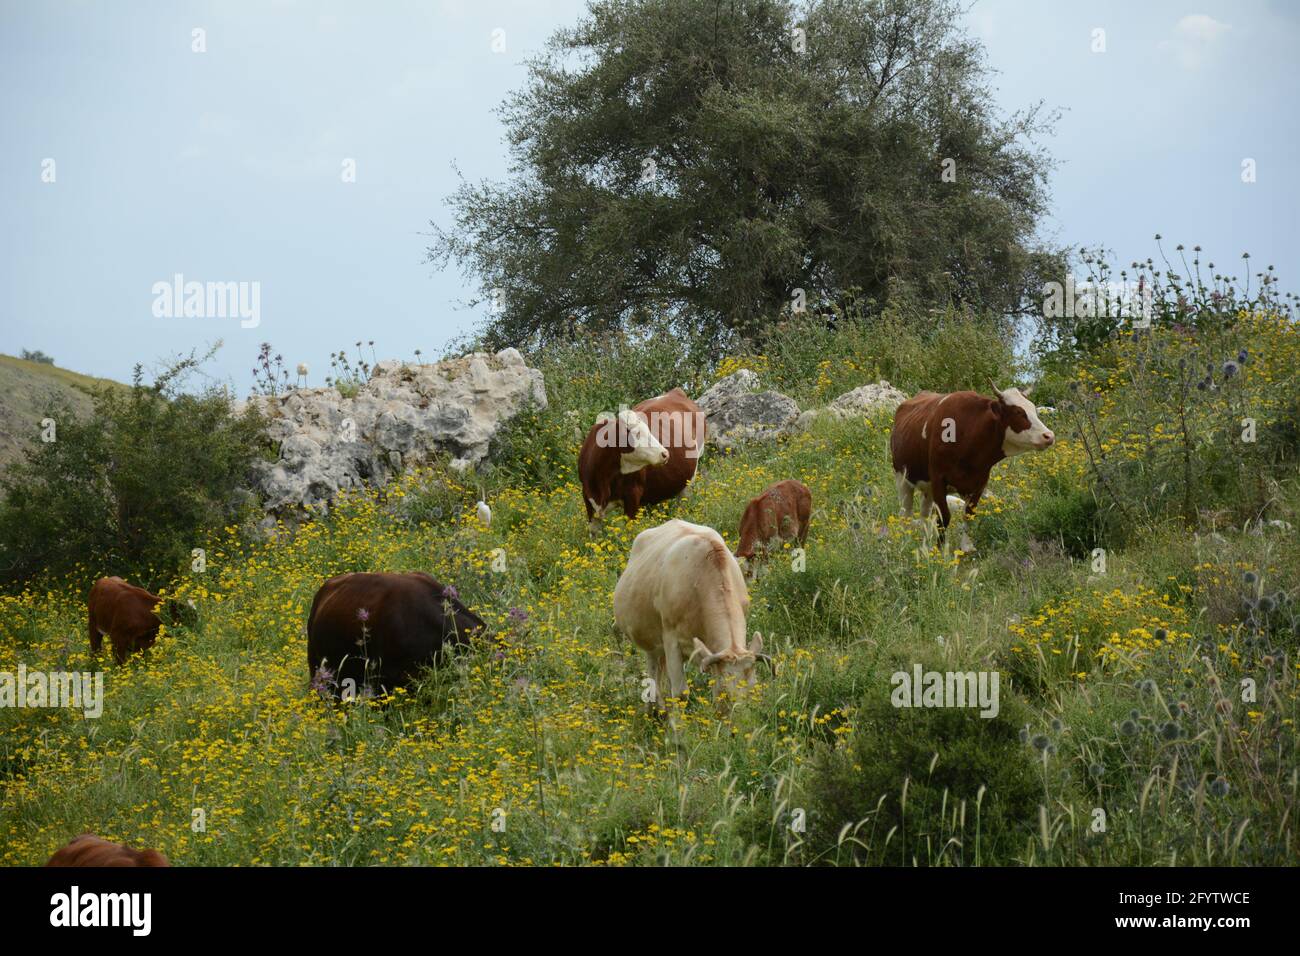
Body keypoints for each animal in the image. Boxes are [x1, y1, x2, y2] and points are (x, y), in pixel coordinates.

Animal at [578, 388, 706, 526]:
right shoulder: (589, 500)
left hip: (689, 481)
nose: (665, 453)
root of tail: (675, 392)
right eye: (637, 434)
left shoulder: (633, 495)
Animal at [613, 519, 771, 711]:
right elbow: (680, 694)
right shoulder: (671, 639)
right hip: (649, 639)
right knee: (653, 674)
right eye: (725, 694)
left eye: (754, 690)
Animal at [890, 385, 1054, 537]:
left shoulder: (978, 484)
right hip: (902, 479)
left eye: (1034, 410)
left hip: (927, 489)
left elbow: (968, 518)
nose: (1049, 436)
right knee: (905, 515)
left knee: (925, 516)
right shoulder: (938, 479)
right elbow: (943, 519)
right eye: (1018, 412)